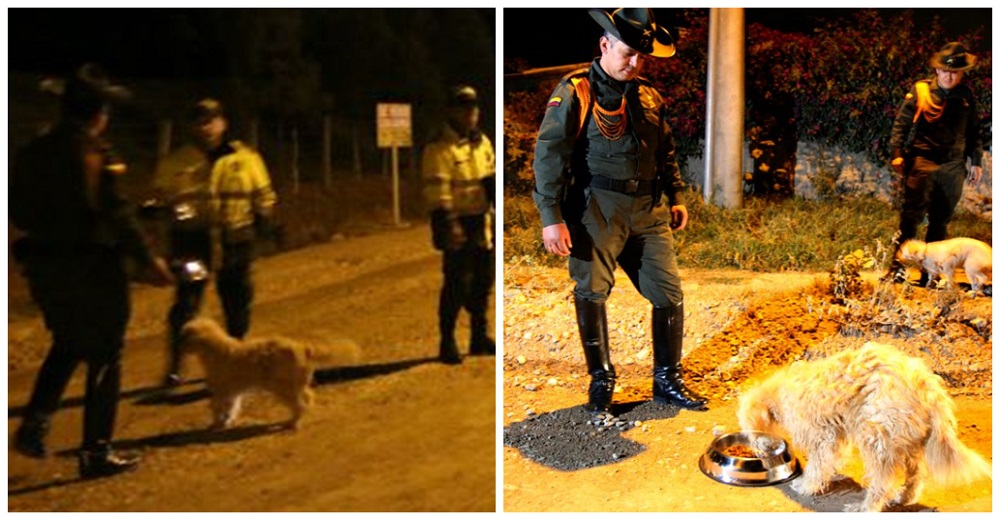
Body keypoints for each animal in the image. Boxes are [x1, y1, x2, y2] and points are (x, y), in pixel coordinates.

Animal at [182, 316, 362, 430]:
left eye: (185, 336)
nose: (179, 346)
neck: (215, 350)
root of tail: (303, 348)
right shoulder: (232, 392)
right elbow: (230, 408)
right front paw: (226, 421)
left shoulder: (222, 390)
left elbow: (215, 407)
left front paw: (217, 423)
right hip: (296, 385)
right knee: (308, 398)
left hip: (282, 389)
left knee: (299, 406)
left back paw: (292, 423)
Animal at [736, 342, 992, 512]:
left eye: (752, 432)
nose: (757, 453)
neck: (779, 394)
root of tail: (925, 385)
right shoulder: (836, 434)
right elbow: (830, 461)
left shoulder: (823, 436)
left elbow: (818, 464)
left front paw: (807, 485)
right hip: (906, 438)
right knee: (916, 474)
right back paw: (904, 498)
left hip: (876, 437)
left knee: (882, 482)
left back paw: (866, 507)